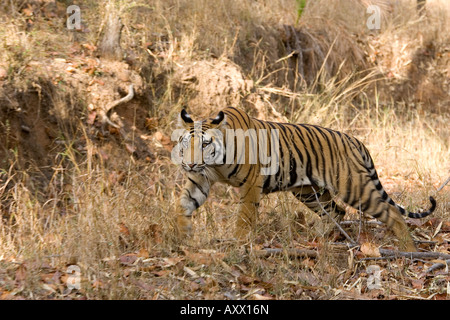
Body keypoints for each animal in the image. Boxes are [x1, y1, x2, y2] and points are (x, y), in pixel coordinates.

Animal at [173, 106, 436, 251]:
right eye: (185, 143)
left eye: (205, 144)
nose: (190, 163)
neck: (214, 164)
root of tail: (354, 140)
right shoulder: (200, 180)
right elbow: (184, 205)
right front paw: (182, 238)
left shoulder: (251, 184)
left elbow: (244, 217)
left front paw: (238, 242)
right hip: (309, 192)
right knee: (337, 211)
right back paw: (319, 238)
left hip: (354, 187)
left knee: (391, 213)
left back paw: (409, 249)